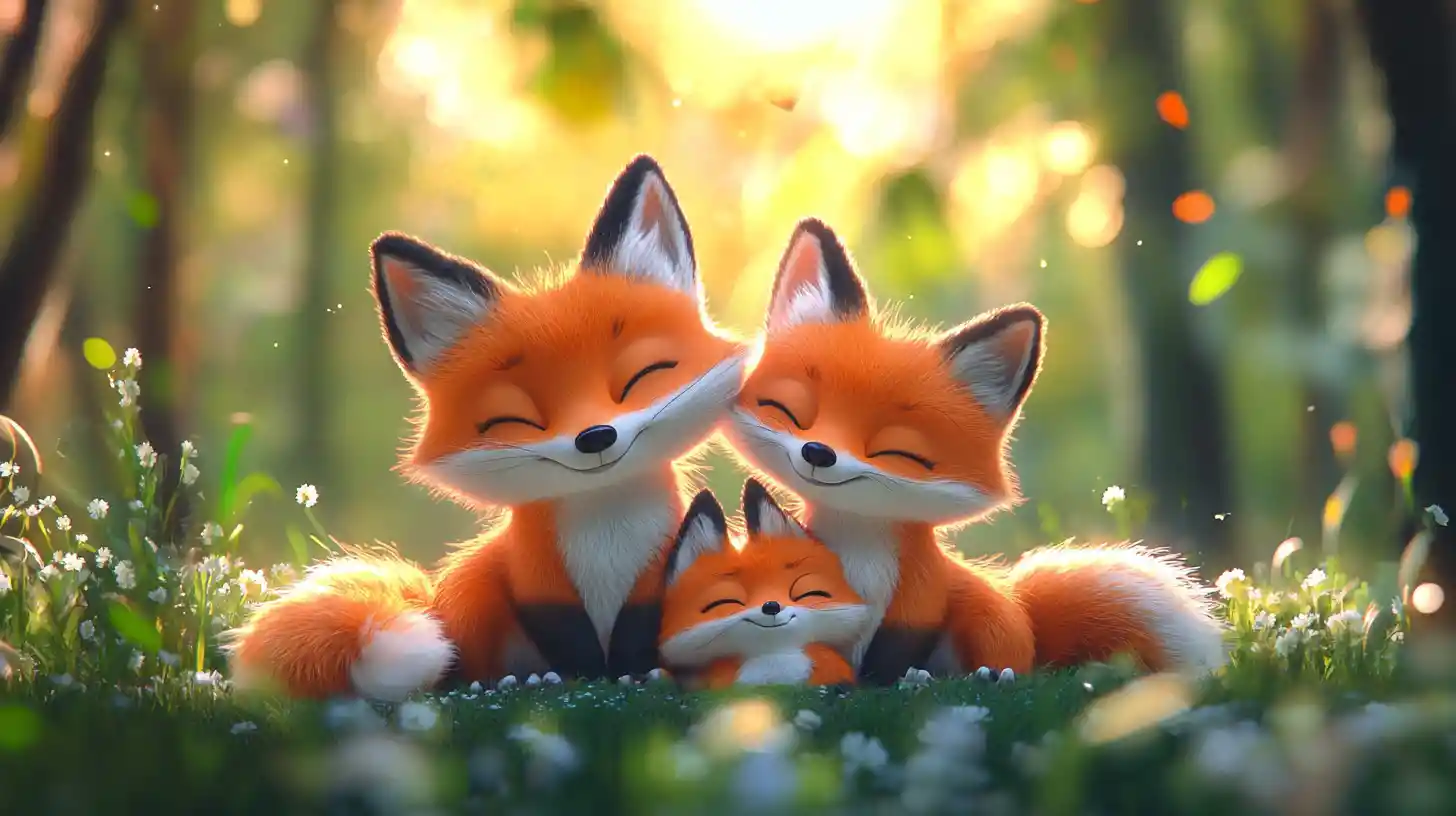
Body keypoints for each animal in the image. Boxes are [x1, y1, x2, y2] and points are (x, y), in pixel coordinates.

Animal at [227, 155, 750, 700]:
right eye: (514, 417)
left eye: (643, 375)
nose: (595, 438)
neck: (605, 526)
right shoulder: (537, 579)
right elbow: (569, 636)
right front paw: (582, 677)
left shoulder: (658, 571)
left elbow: (640, 627)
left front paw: (637, 673)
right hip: (471, 594)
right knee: (462, 665)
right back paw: (508, 679)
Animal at [723, 217, 1226, 686]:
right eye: (787, 411)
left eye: (898, 451)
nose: (817, 452)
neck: (858, 540)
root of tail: (1025, 613)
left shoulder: (918, 598)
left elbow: (893, 652)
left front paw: (884, 683)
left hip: (987, 619)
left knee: (1004, 662)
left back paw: (984, 676)